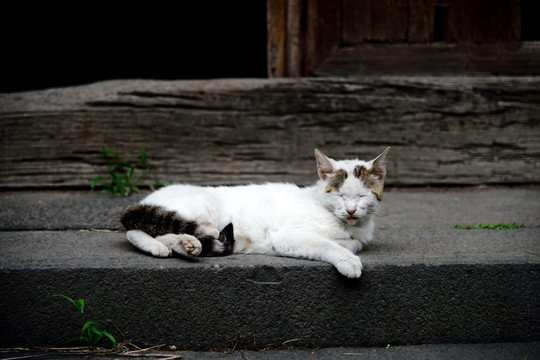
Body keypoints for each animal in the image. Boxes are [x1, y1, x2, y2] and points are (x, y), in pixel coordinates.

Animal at [121, 148, 390, 278]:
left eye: (361, 196)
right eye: (340, 195)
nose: (351, 209)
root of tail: (146, 199)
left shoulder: (357, 236)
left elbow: (352, 243)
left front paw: (348, 246)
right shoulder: (288, 237)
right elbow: (328, 245)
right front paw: (348, 261)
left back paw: (187, 245)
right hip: (199, 211)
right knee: (135, 230)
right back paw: (161, 246)